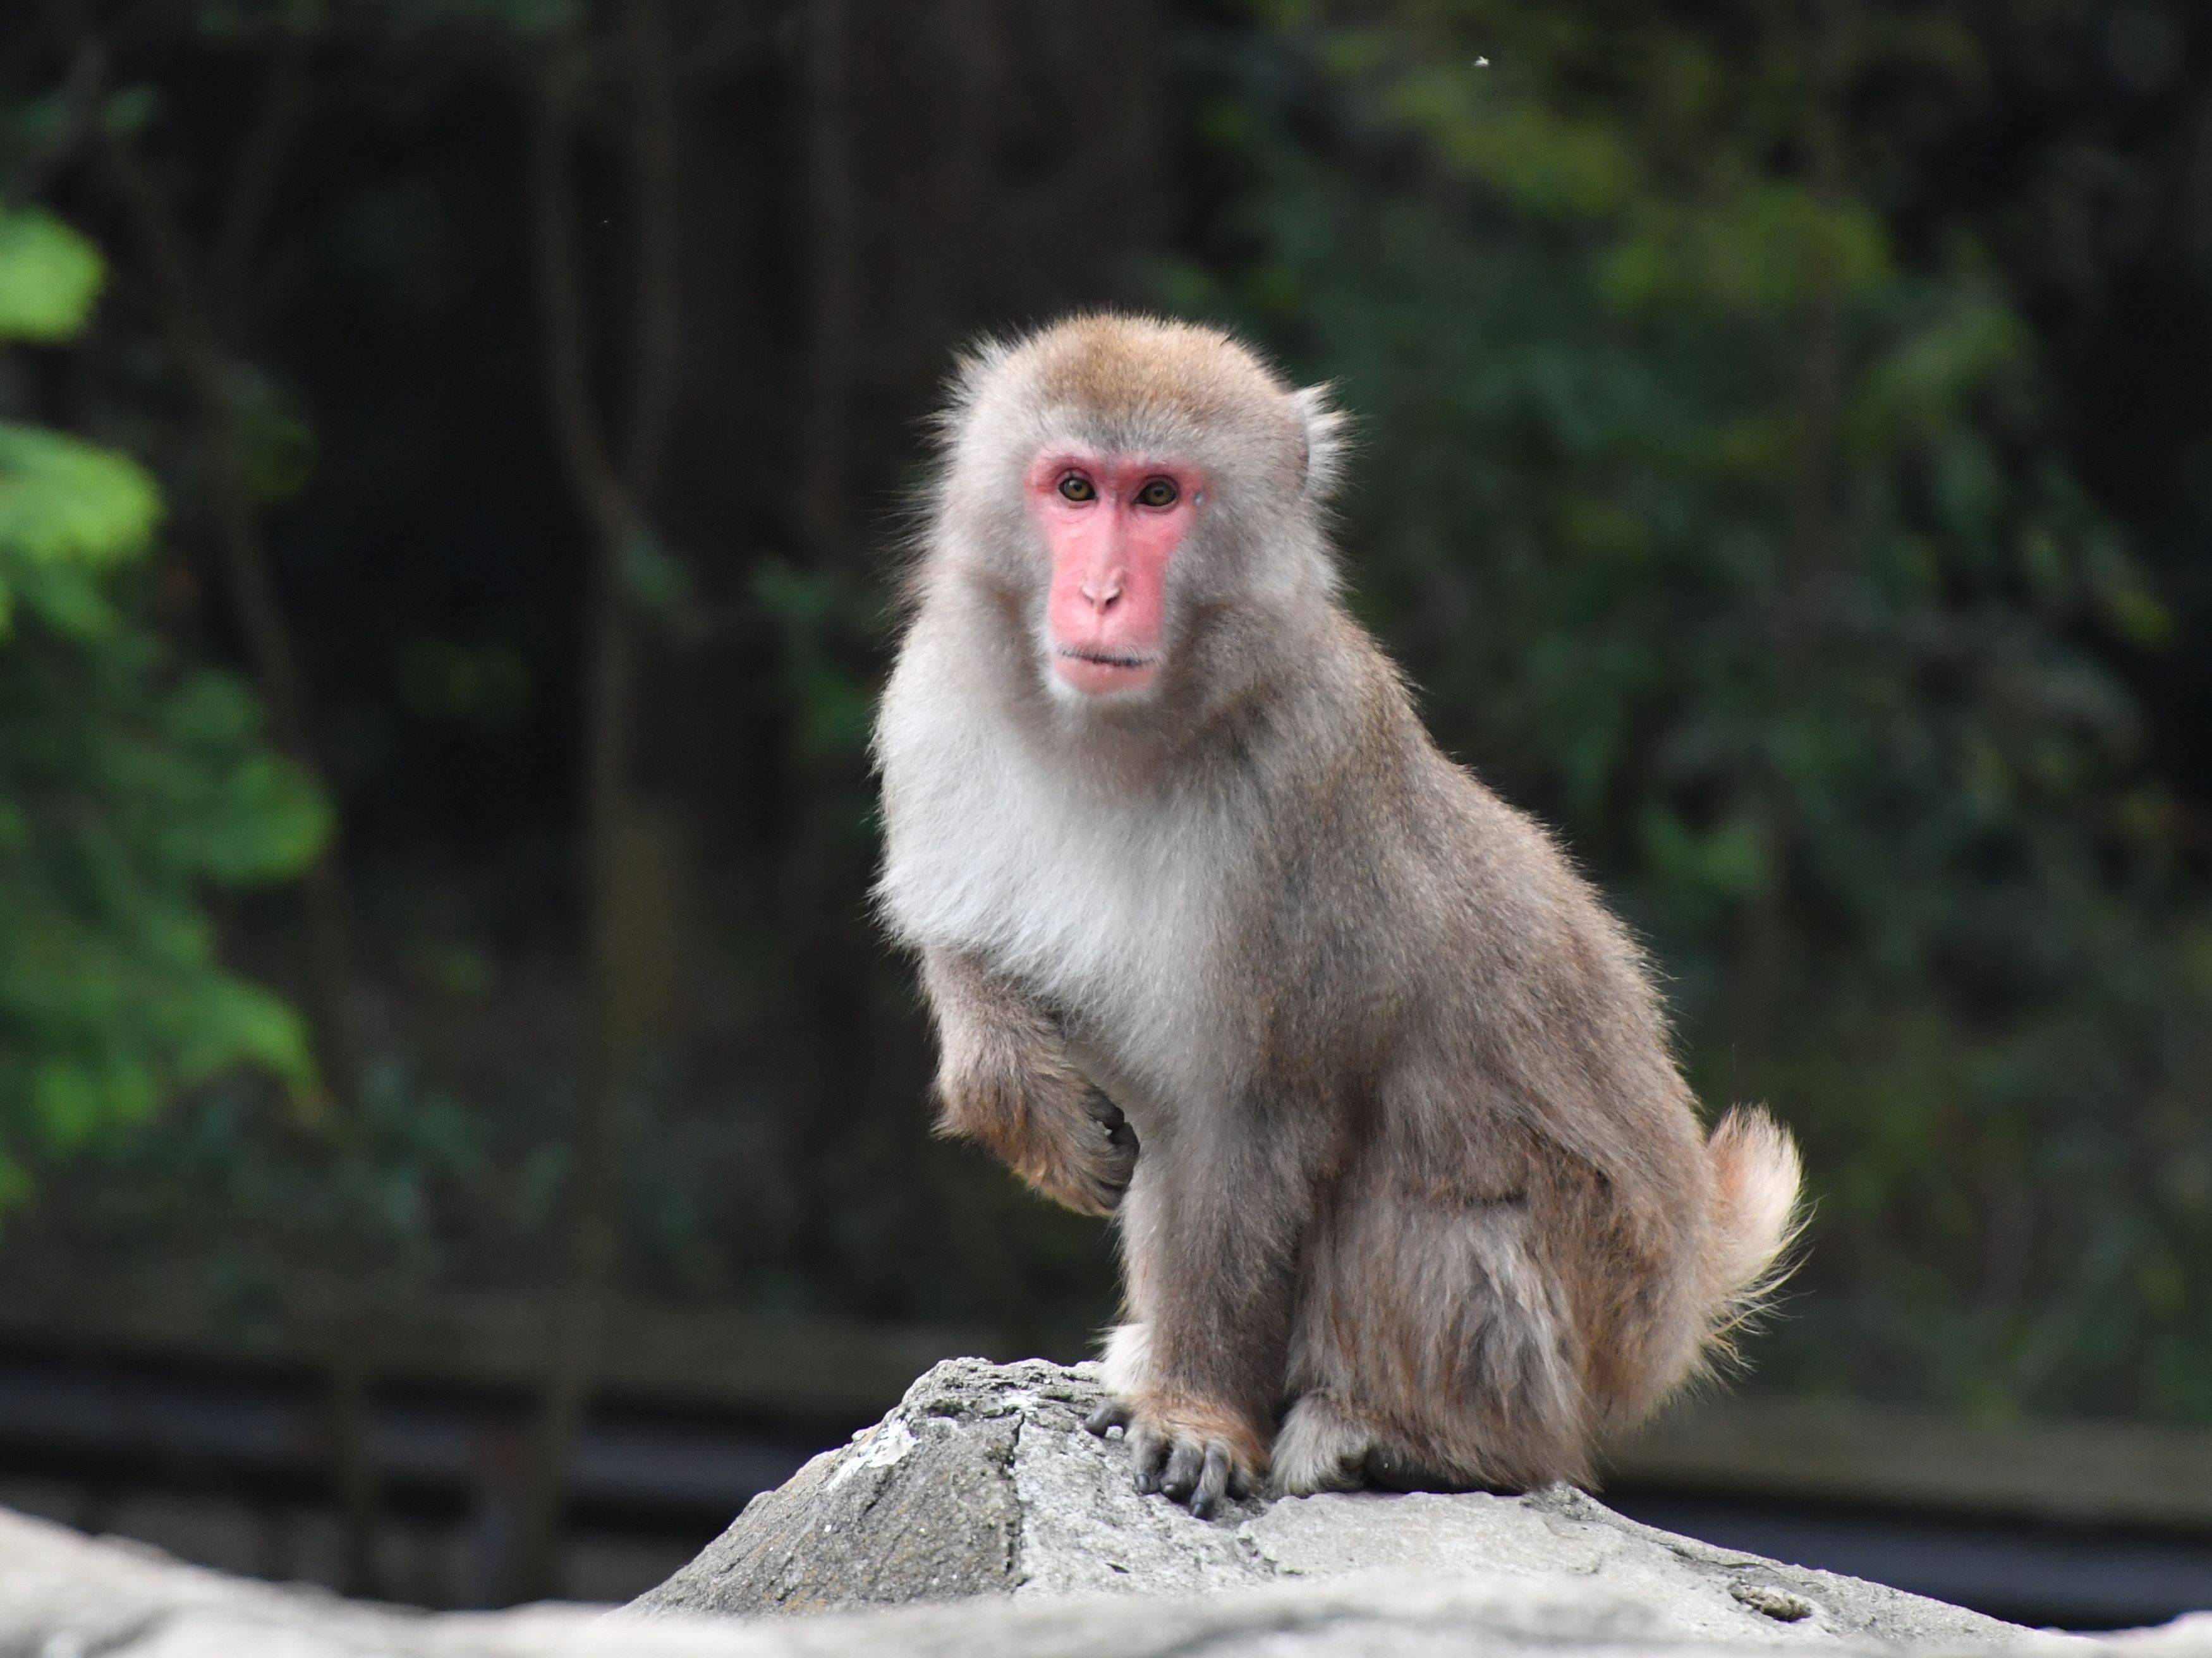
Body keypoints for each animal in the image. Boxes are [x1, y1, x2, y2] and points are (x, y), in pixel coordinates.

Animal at [872, 312, 1805, 1521]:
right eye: (1075, 488)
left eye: (1159, 496)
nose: (1103, 595)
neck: (1115, 739)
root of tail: (1677, 1296)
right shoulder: (932, 700)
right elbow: (965, 942)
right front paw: (1020, 1096)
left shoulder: (1300, 788)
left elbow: (1263, 1116)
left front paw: (1201, 1412)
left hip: (1580, 1314)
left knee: (1411, 1185)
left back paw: (1410, 1438)